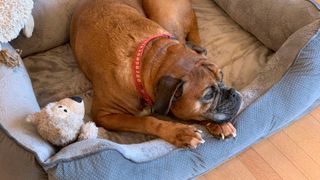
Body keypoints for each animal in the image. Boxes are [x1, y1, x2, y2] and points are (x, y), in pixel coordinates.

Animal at [71, 0, 241, 148]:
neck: (148, 60)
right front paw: (179, 132)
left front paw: (217, 125)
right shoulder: (104, 115)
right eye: (208, 95)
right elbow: (146, 120)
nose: (233, 93)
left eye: (222, 77)